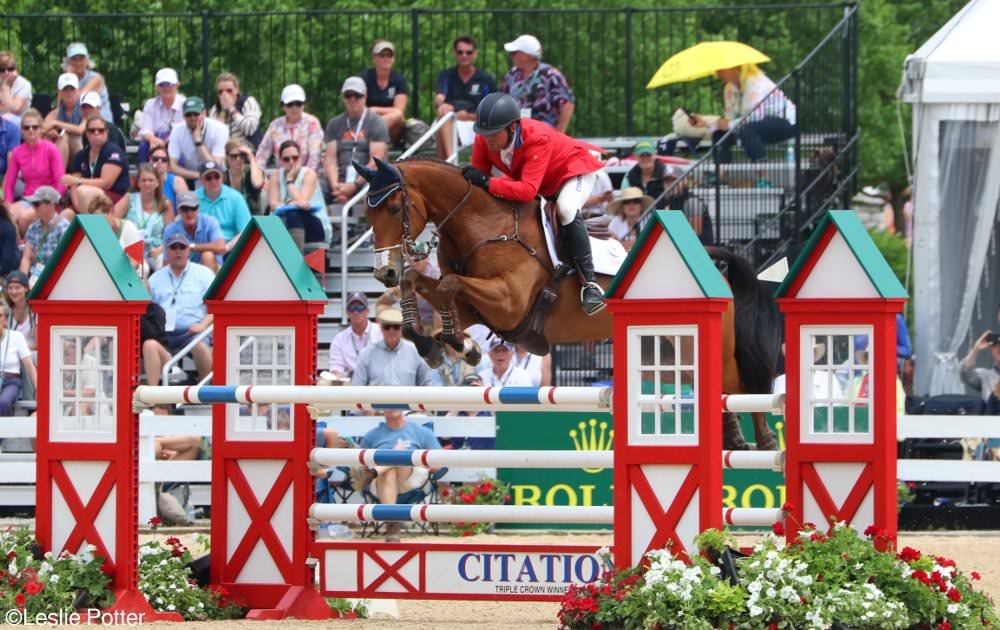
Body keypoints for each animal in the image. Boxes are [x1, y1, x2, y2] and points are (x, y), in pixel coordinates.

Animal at [356, 158, 784, 454]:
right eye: (367, 212)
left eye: (393, 208)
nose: (383, 272)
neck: (482, 225)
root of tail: (710, 256)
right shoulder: (480, 309)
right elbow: (426, 285)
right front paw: (442, 344)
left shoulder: (509, 302)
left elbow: (447, 285)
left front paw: (458, 345)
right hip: (664, 350)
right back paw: (733, 437)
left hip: (712, 346)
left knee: (741, 382)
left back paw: (761, 440)